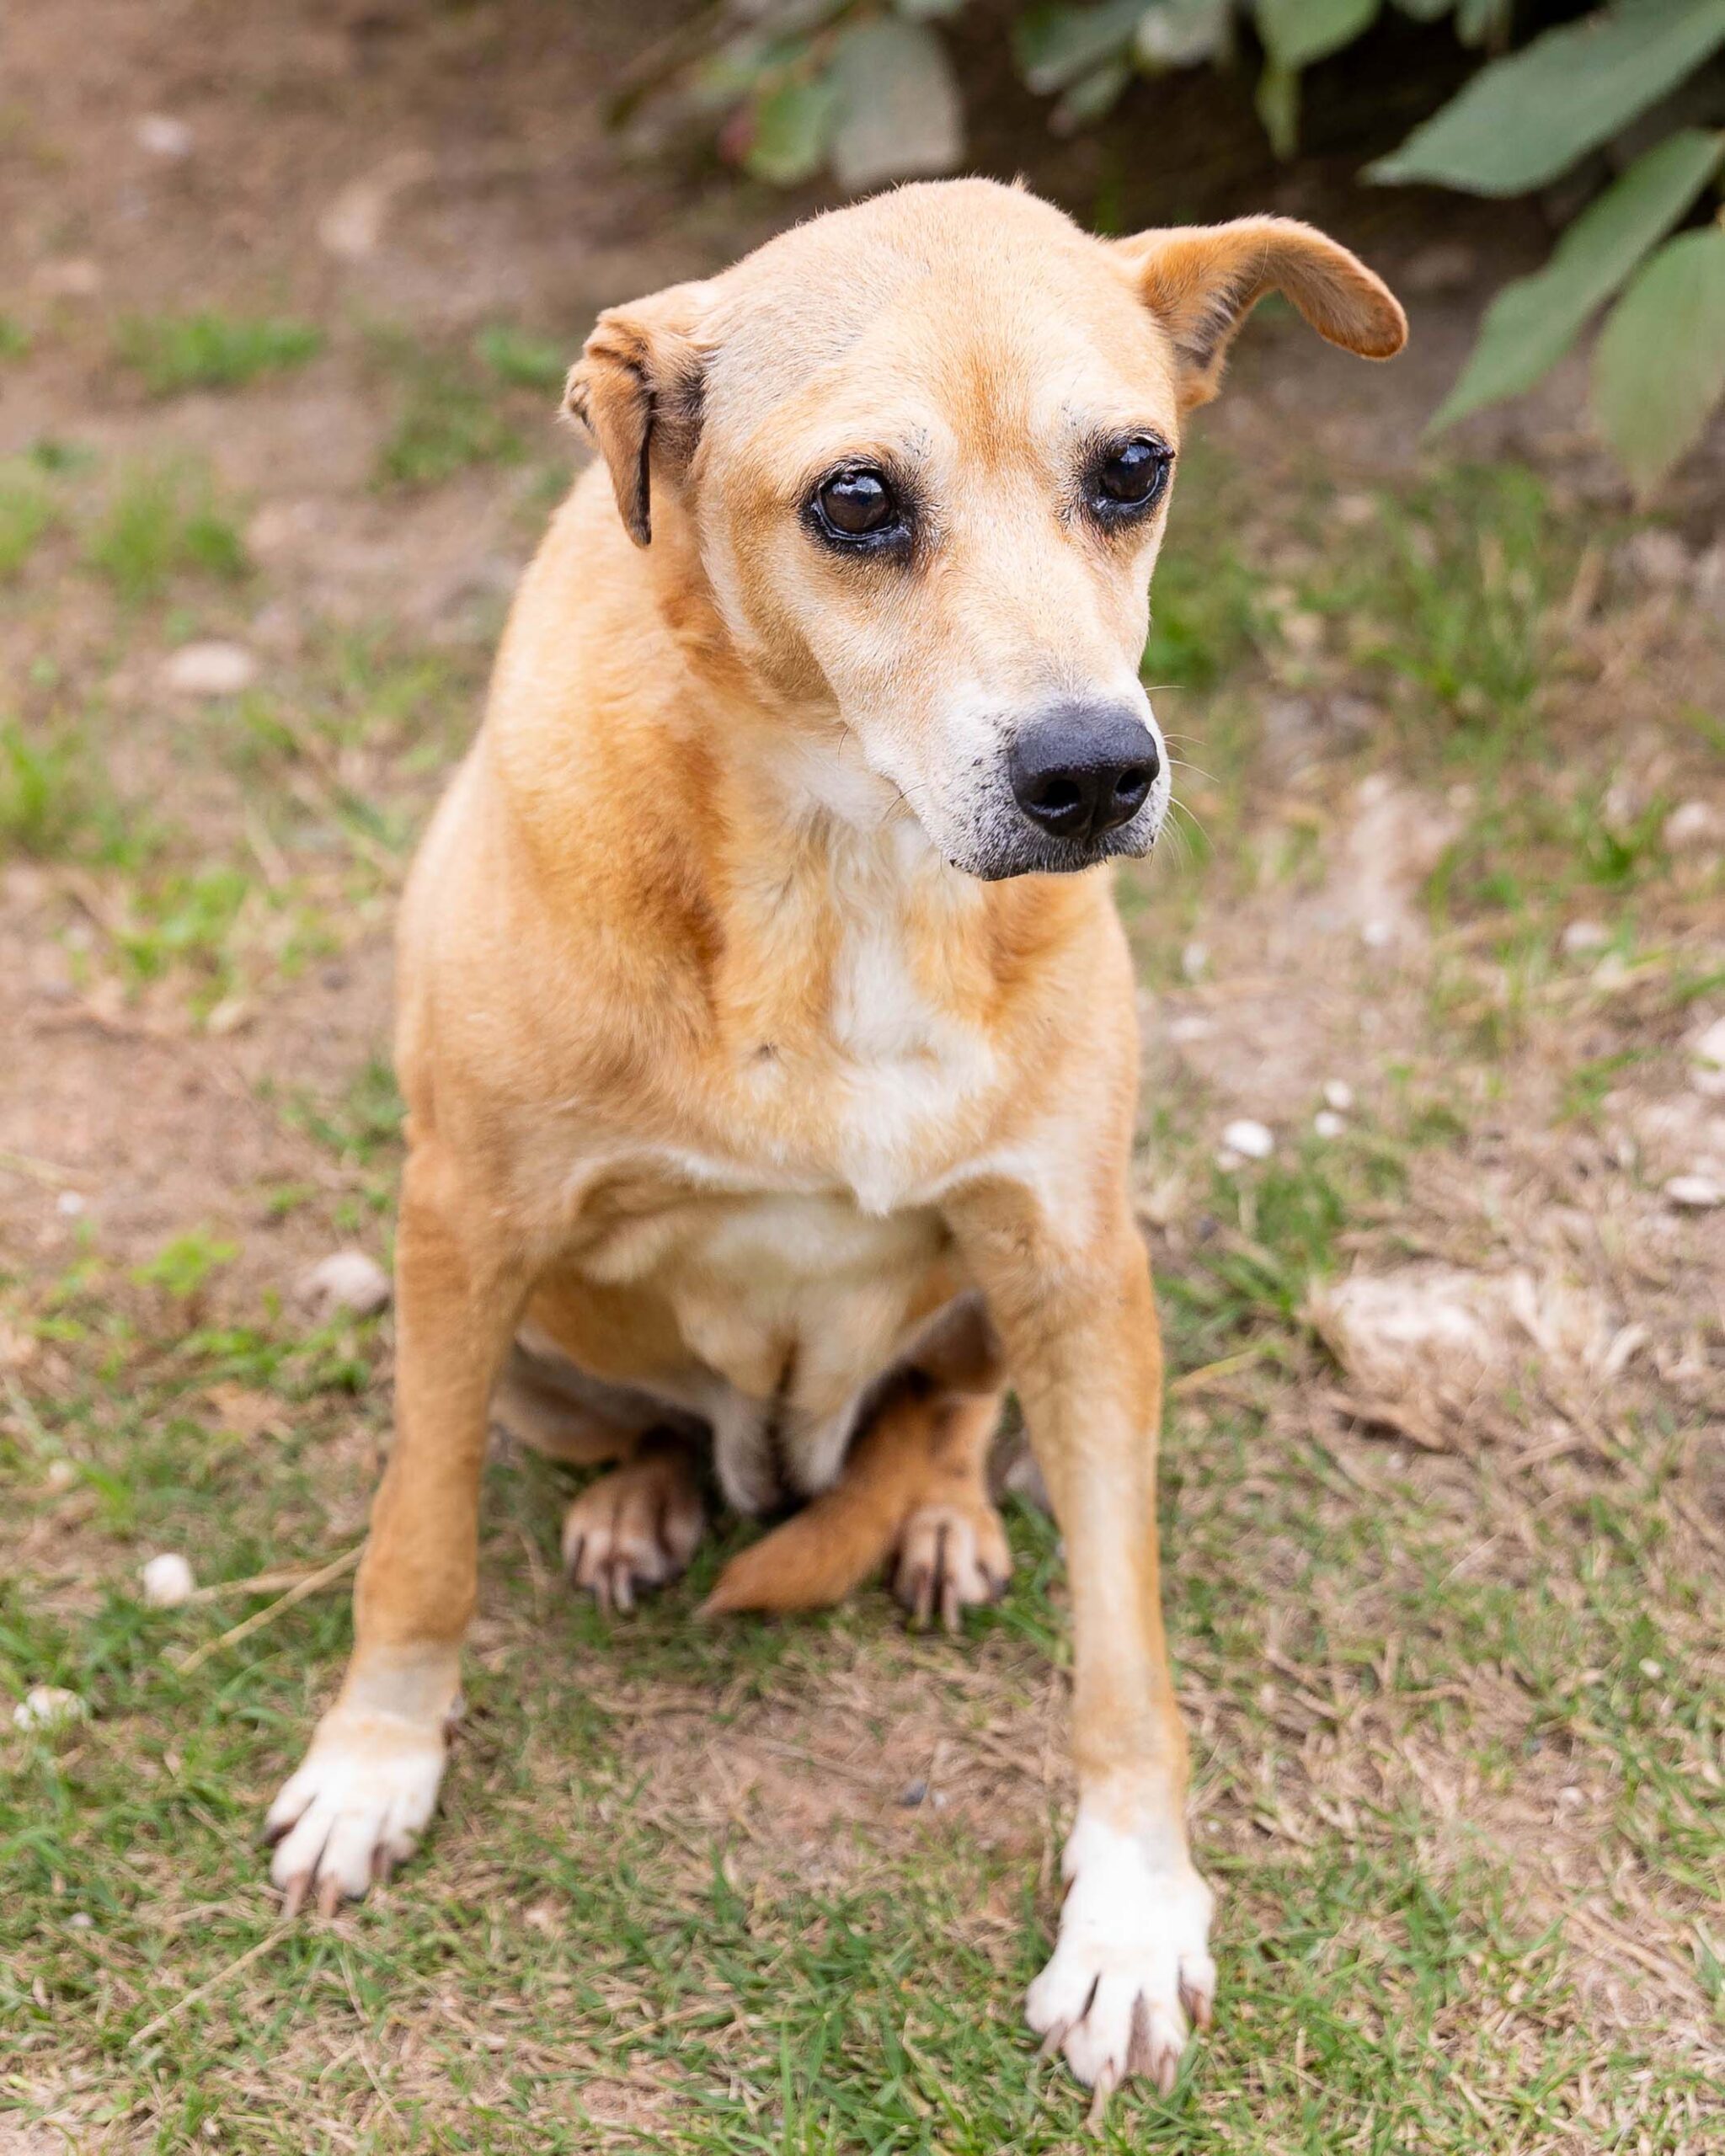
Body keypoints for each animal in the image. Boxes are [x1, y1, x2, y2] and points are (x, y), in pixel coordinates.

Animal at [264, 178, 1404, 2098]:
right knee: (626, 1436)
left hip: (1009, 1307)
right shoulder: (468, 1224)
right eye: (858, 499)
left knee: (938, 1415)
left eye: (1132, 468)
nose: (1092, 773)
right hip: (526, 1348)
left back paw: (932, 1518)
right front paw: (374, 1764)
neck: (845, 857)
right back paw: (639, 1504)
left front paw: (1130, 1911)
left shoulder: (1073, 1257)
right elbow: (415, 1543)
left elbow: (1124, 1650)